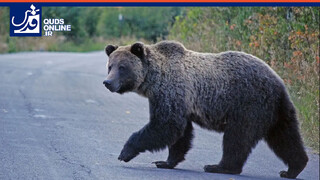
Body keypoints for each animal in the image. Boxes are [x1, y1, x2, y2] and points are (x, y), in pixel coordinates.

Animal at [102, 40, 308, 179]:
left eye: (122, 67)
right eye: (110, 66)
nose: (107, 82)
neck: (153, 79)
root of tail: (279, 83)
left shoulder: (171, 91)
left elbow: (165, 125)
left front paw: (125, 152)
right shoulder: (180, 101)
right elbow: (180, 133)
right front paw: (166, 162)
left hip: (248, 104)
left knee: (238, 137)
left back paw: (219, 166)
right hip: (276, 110)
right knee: (285, 137)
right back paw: (293, 168)